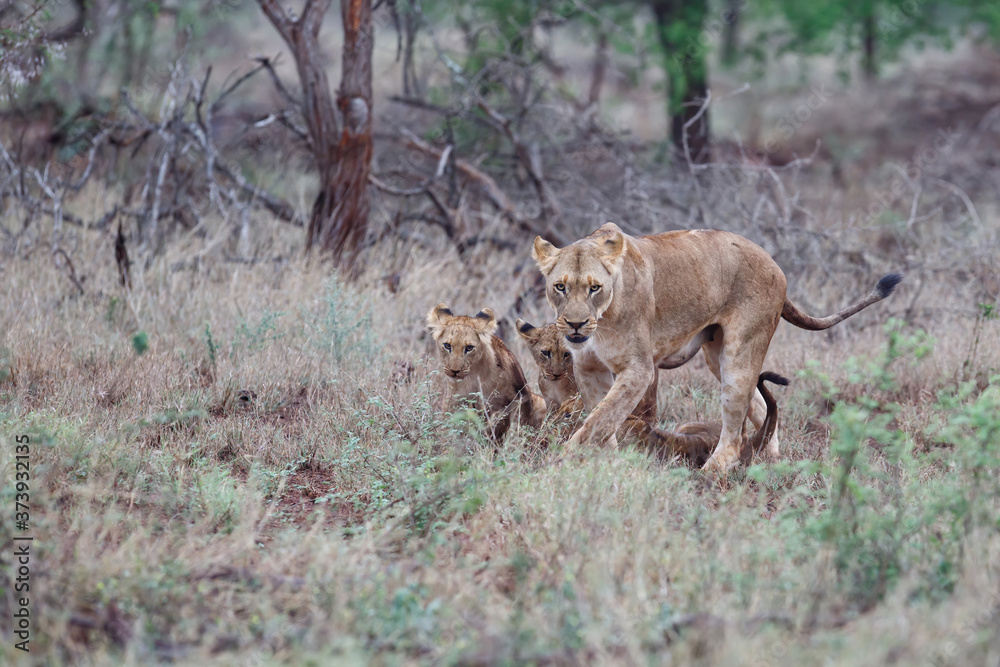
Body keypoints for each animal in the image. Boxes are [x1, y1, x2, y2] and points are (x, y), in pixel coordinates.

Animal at [427, 303, 547, 442]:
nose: (454, 371)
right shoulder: (453, 401)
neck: (472, 377)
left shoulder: (511, 402)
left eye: (469, 348)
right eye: (447, 346)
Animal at [532, 222, 901, 472]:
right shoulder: (588, 367)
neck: (603, 320)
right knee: (760, 407)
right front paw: (605, 461)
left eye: (594, 288)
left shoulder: (639, 369)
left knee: (735, 427)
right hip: (715, 354)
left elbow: (601, 418)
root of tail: (775, 264)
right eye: (560, 287)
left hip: (740, 352)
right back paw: (770, 461)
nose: (575, 324)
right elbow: (602, 418)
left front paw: (561, 463)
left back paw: (711, 472)